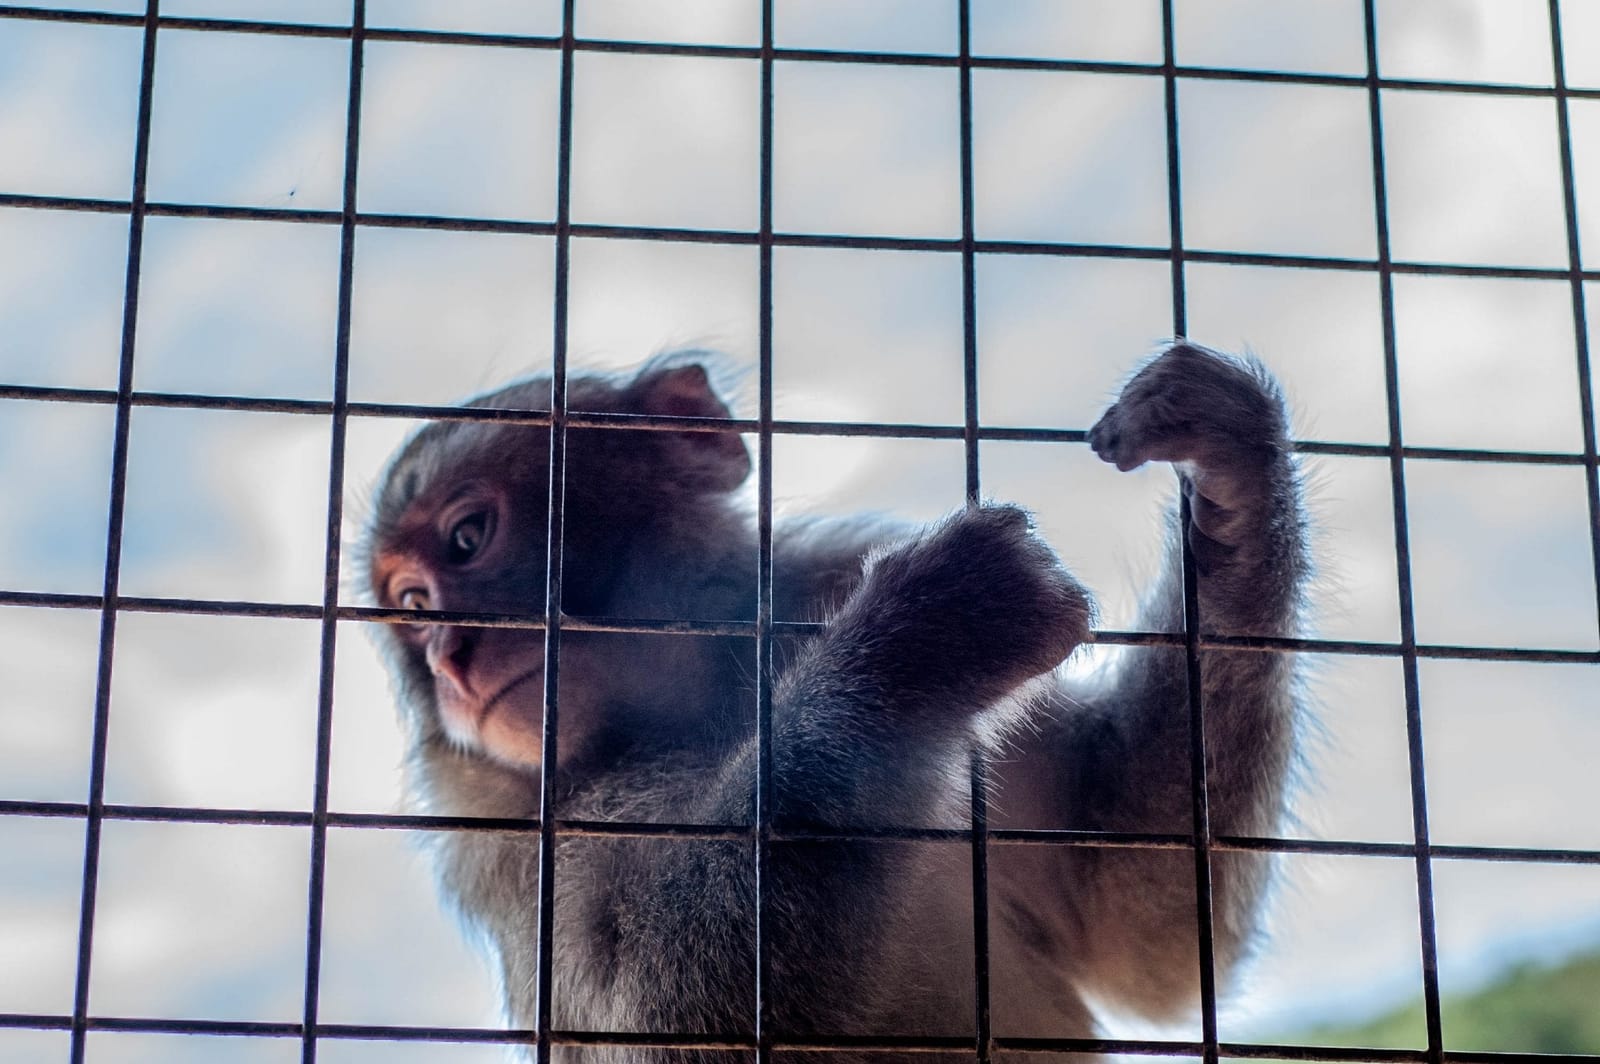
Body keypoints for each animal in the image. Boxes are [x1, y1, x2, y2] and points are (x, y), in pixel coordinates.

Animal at [361, 342, 1308, 1061]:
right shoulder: (510, 835)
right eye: (412, 606)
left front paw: (1233, 490)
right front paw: (925, 632)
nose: (449, 659)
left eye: (468, 537)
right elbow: (658, 1024)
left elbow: (1137, 926)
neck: (688, 714)